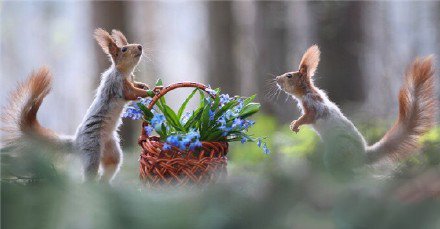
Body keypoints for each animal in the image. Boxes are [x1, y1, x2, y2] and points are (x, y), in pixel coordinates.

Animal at [0, 29, 151, 182]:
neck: (124, 72)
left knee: (111, 164)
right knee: (89, 176)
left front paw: (144, 85)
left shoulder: (130, 79)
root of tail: (77, 143)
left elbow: (135, 85)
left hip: (110, 149)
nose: (140, 46)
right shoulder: (118, 85)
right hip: (92, 151)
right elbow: (132, 93)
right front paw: (149, 91)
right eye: (124, 49)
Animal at [276, 45, 438, 177]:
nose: (277, 78)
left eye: (289, 75)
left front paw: (296, 124)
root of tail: (363, 156)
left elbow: (308, 117)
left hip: (339, 150)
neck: (306, 92)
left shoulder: (314, 106)